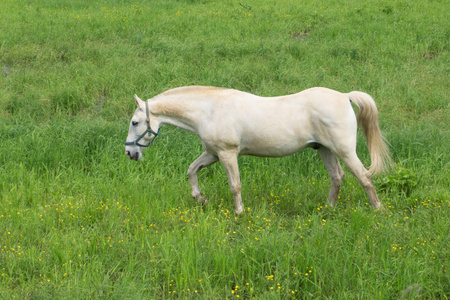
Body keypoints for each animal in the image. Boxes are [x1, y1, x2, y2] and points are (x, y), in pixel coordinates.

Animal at [125, 85, 392, 214]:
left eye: (135, 122)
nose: (130, 153)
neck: (209, 110)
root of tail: (345, 96)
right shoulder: (212, 153)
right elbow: (192, 170)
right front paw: (200, 199)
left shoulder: (227, 153)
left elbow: (235, 185)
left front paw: (239, 212)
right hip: (323, 149)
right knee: (337, 177)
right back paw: (328, 208)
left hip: (344, 151)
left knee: (364, 177)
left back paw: (378, 210)